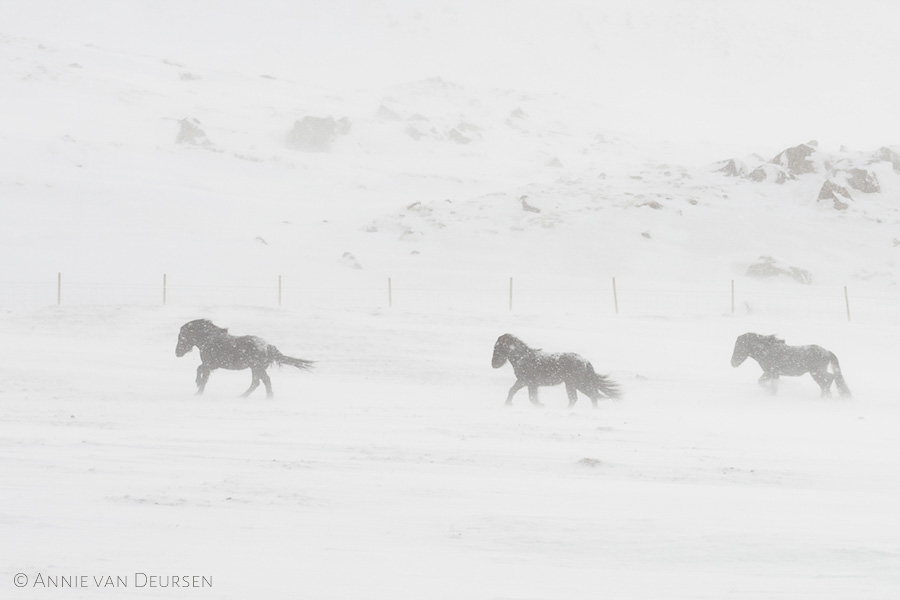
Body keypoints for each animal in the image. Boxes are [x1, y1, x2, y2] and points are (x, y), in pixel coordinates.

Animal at [177, 318, 316, 398]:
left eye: (181, 337)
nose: (177, 353)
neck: (209, 339)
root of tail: (268, 346)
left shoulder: (209, 364)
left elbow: (202, 375)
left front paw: (198, 391)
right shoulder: (212, 365)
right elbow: (200, 370)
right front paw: (197, 386)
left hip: (257, 368)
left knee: (263, 381)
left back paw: (261, 397)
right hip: (255, 368)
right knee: (258, 382)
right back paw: (246, 396)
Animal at [492, 332, 620, 408]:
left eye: (497, 348)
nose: (493, 364)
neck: (523, 358)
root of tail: (586, 362)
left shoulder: (526, 381)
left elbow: (525, 395)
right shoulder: (528, 383)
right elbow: (520, 393)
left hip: (576, 383)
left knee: (585, 397)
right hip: (576, 384)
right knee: (587, 396)